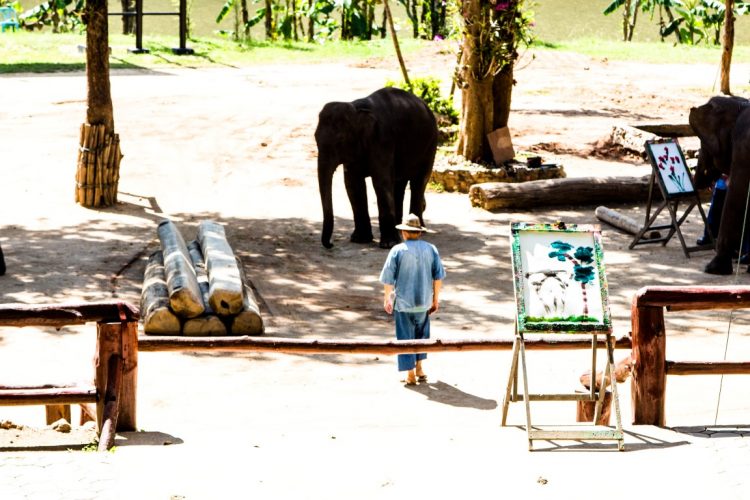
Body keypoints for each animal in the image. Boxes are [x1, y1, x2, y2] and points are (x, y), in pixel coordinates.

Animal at [315, 87, 438, 249]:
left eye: (340, 141)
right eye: (315, 138)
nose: (331, 244)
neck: (356, 108)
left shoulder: (382, 140)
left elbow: (381, 182)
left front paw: (388, 244)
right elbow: (353, 185)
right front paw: (360, 240)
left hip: (431, 144)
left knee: (419, 182)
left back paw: (419, 230)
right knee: (399, 183)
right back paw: (400, 225)